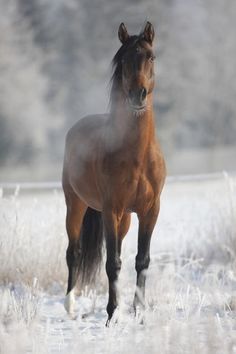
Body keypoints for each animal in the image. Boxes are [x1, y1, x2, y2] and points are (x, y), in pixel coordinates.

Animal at [62, 22, 166, 324]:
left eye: (151, 56)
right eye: (124, 60)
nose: (138, 95)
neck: (137, 156)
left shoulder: (150, 211)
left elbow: (142, 260)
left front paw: (138, 312)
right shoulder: (111, 209)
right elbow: (112, 263)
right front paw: (111, 315)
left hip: (125, 219)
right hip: (75, 204)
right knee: (73, 252)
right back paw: (70, 305)